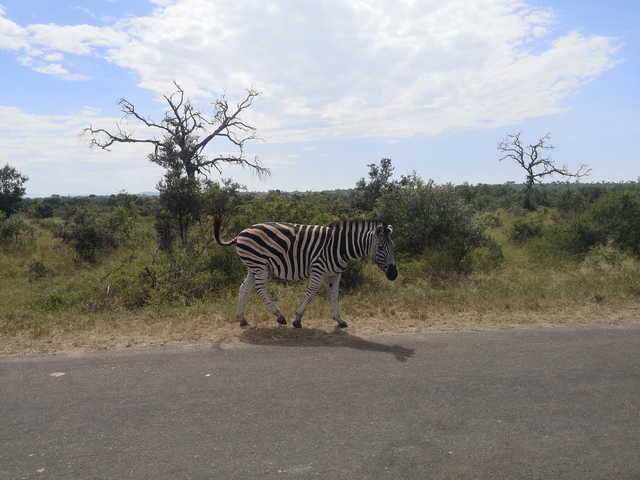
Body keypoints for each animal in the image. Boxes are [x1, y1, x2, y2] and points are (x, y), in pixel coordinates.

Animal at [213, 218, 398, 329]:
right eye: (380, 248)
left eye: (393, 247)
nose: (394, 274)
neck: (340, 247)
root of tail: (241, 233)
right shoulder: (318, 269)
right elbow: (310, 294)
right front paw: (297, 319)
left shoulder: (335, 273)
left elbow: (335, 295)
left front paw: (339, 320)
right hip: (260, 265)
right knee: (259, 289)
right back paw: (280, 316)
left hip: (253, 266)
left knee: (244, 288)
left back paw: (241, 319)